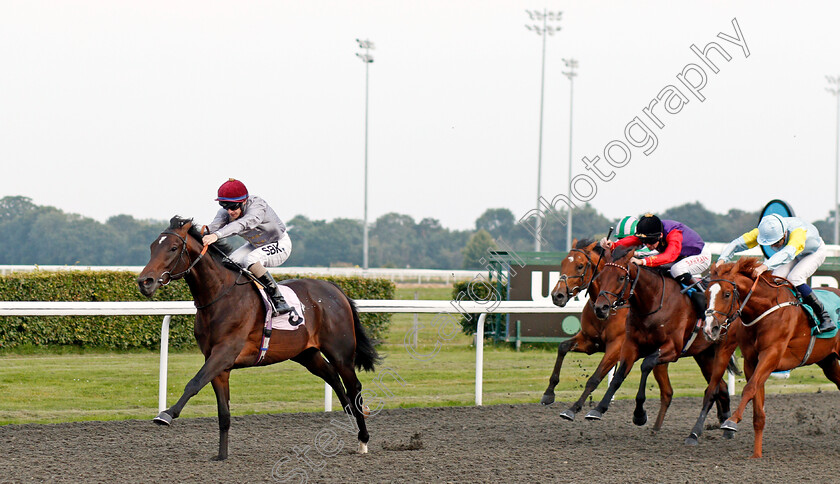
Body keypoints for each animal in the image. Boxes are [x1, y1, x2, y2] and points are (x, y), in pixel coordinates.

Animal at [136, 216, 378, 462]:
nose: (144, 281)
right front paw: (222, 455)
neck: (220, 296)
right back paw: (353, 414)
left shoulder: (224, 353)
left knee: (353, 386)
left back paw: (363, 439)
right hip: (306, 354)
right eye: (153, 247)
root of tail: (334, 288)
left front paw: (166, 414)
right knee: (332, 377)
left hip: (340, 352)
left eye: (173, 248)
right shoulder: (219, 365)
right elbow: (223, 412)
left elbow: (194, 383)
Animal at [548, 238, 672, 428]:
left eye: (580, 266)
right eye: (562, 263)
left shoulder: (617, 347)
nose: (557, 295)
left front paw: (574, 408)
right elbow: (562, 347)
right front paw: (548, 394)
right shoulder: (590, 341)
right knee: (667, 392)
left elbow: (595, 378)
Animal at [584, 248, 736, 430]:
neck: (653, 302)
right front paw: (598, 409)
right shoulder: (631, 345)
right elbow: (619, 375)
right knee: (722, 388)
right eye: (600, 277)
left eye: (621, 277)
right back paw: (724, 420)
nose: (600, 308)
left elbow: (646, 364)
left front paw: (639, 414)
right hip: (704, 355)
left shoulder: (673, 349)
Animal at [684, 258, 840, 458]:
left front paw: (731, 421)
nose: (710, 328)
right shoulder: (752, 361)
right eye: (706, 294)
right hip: (828, 361)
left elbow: (749, 388)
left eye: (727, 294)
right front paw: (756, 454)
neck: (765, 310)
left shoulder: (771, 355)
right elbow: (756, 404)